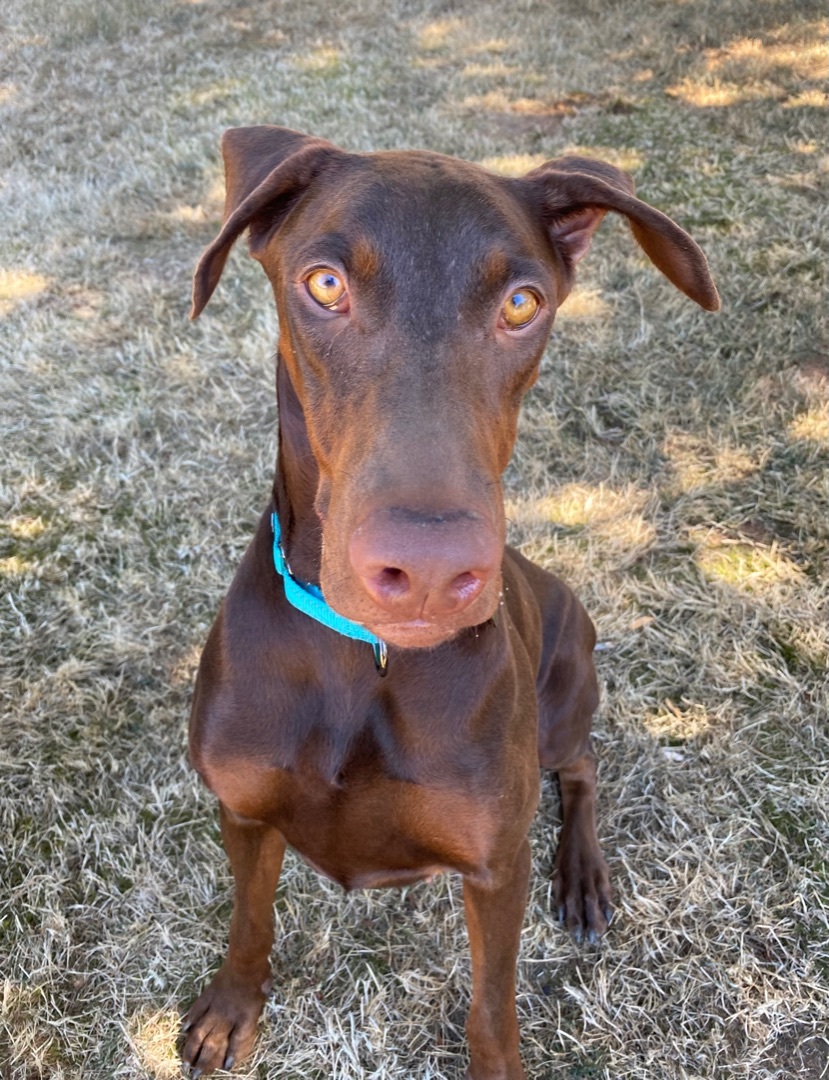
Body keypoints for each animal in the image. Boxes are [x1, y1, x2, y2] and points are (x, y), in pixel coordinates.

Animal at [181, 122, 716, 1075]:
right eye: (325, 283)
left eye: (522, 303)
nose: (429, 569)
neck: (364, 658)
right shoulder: (242, 808)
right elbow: (249, 922)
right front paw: (232, 1007)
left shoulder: (494, 864)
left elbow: (491, 1008)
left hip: (566, 693)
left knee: (580, 769)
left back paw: (583, 875)